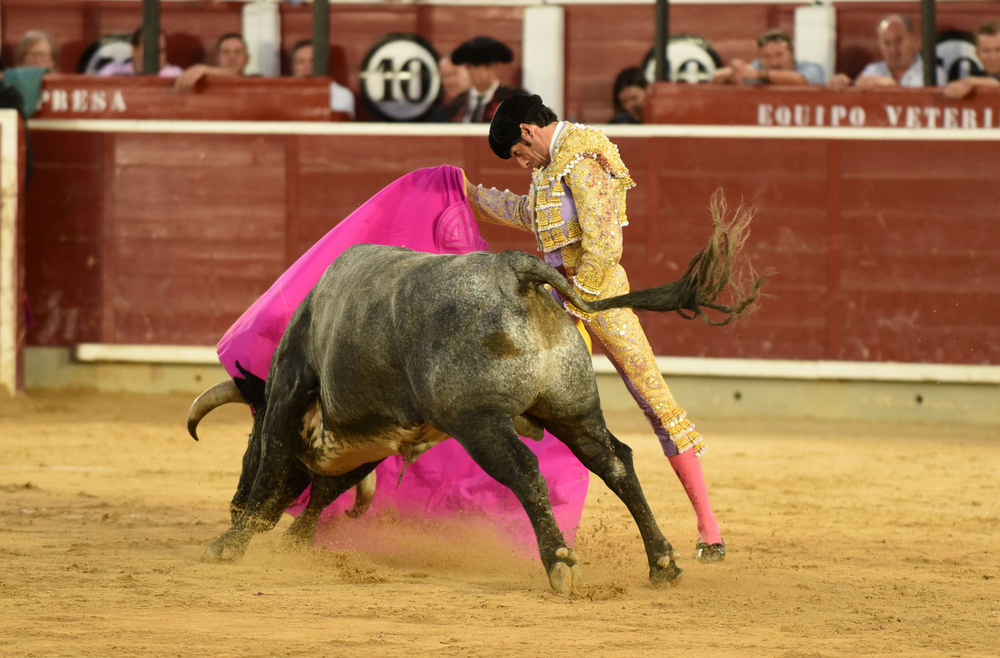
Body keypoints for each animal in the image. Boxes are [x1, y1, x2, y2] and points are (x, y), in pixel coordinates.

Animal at [189, 206, 764, 596]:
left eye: (246, 440)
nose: (234, 504)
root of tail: (514, 269)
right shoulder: (378, 435)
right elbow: (330, 486)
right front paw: (292, 543)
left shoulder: (289, 396)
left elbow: (280, 467)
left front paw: (230, 544)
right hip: (572, 409)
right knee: (616, 462)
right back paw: (662, 562)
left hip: (478, 422)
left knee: (526, 470)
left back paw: (559, 562)